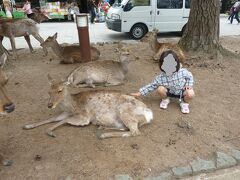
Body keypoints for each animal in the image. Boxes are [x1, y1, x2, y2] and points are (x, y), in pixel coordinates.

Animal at [23, 74, 154, 138]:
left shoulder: (84, 117)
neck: (73, 105)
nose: (50, 105)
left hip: (125, 111)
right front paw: (28, 125)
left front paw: (50, 132)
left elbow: (64, 120)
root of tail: (150, 115)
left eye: (60, 90)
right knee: (126, 128)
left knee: (135, 132)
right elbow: (52, 118)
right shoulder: (67, 112)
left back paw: (103, 135)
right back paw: (102, 127)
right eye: (49, 91)